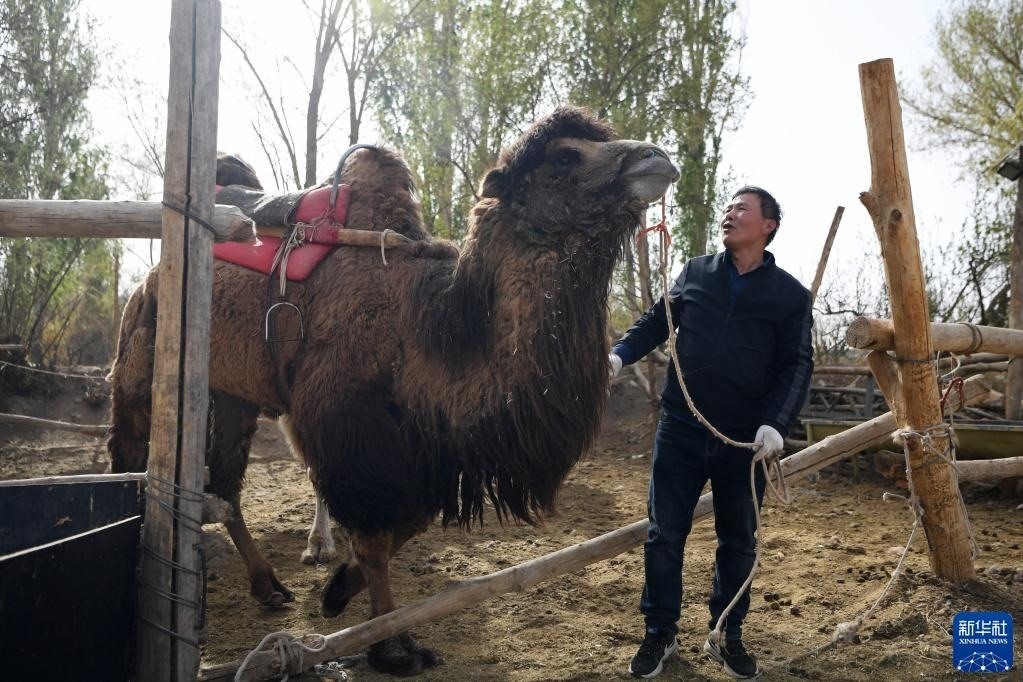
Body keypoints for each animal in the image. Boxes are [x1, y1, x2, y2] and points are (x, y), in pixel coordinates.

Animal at [107, 107, 678, 675]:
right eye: (564, 157)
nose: (658, 157)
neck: (427, 327)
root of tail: (151, 277)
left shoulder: (422, 448)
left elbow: (410, 522)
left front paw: (338, 590)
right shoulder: (348, 425)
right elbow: (378, 535)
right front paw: (390, 647)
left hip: (233, 396)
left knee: (224, 487)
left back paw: (269, 586)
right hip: (143, 361)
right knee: (132, 453)